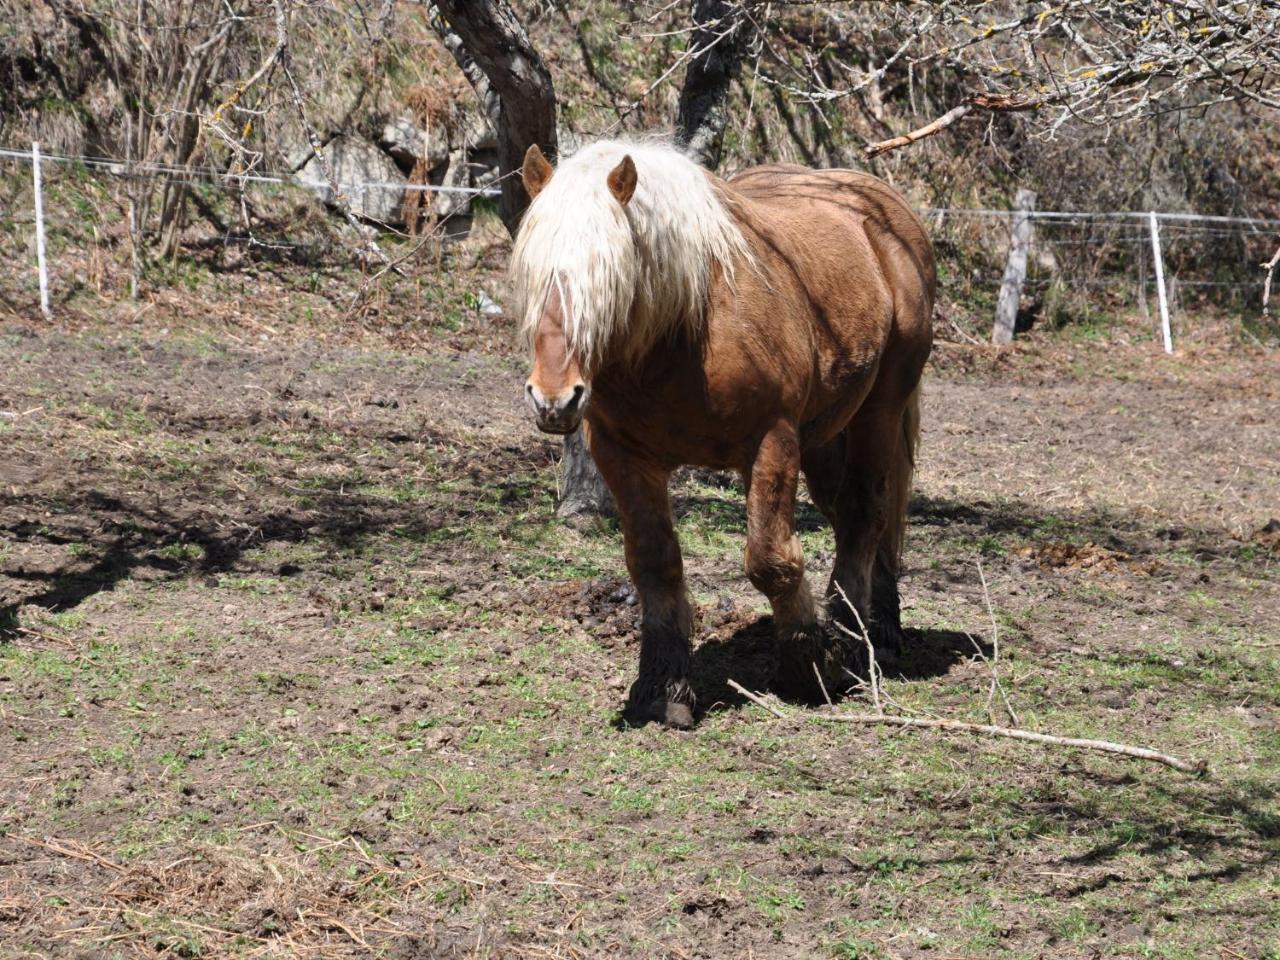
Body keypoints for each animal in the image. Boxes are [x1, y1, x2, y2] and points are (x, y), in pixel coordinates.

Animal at [506, 138, 931, 727]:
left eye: (610, 279)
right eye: (534, 277)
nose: (553, 399)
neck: (687, 326)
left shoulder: (772, 444)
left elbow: (771, 562)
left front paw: (809, 666)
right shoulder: (624, 457)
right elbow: (655, 566)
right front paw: (663, 689)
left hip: (878, 415)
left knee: (867, 511)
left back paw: (856, 640)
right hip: (827, 437)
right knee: (857, 515)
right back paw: (875, 629)